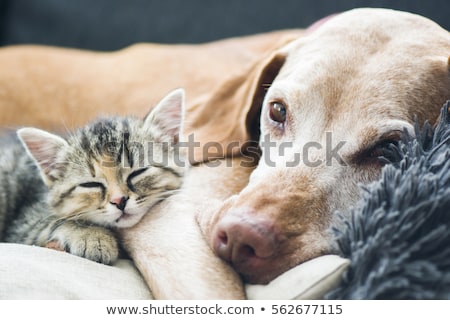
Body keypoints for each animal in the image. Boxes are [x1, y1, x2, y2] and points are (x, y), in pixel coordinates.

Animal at [0, 89, 185, 264]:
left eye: (138, 172)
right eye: (90, 185)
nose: (119, 201)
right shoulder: (22, 226)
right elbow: (56, 221)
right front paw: (93, 236)